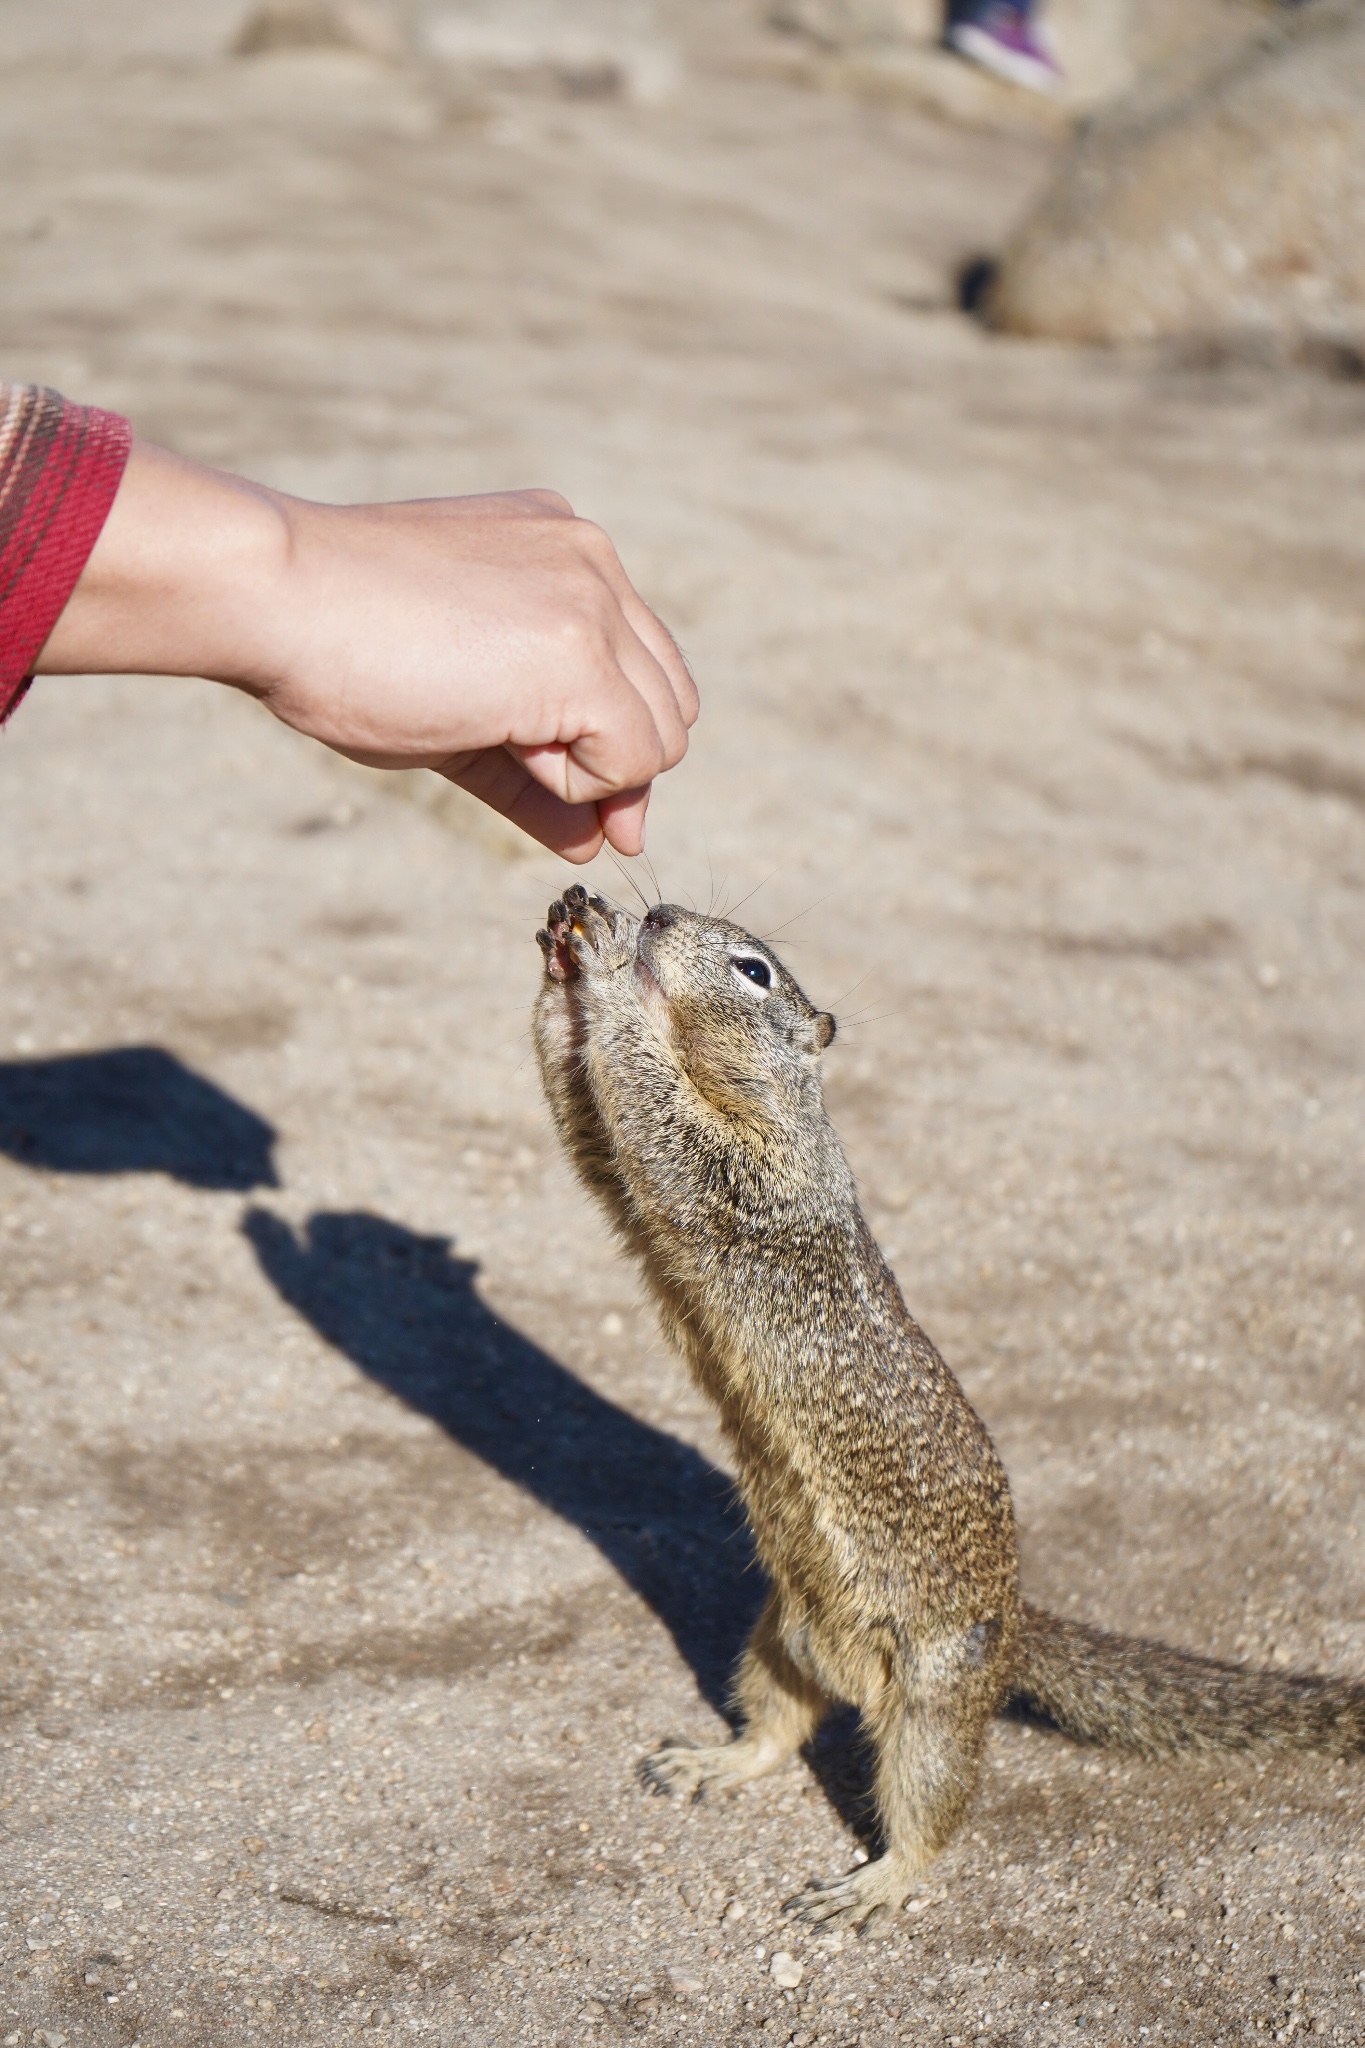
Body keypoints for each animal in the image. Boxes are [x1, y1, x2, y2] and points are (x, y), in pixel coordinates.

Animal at [532, 888, 1365, 1925]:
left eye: (752, 969)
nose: (658, 917)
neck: (774, 1100)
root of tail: (1013, 1629)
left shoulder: (744, 1172)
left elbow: (653, 1112)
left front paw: (607, 970)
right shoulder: (638, 1182)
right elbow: (589, 1130)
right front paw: (563, 953)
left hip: (933, 1704)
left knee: (932, 1812)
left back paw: (869, 1887)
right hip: (774, 1642)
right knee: (777, 1728)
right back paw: (709, 1764)